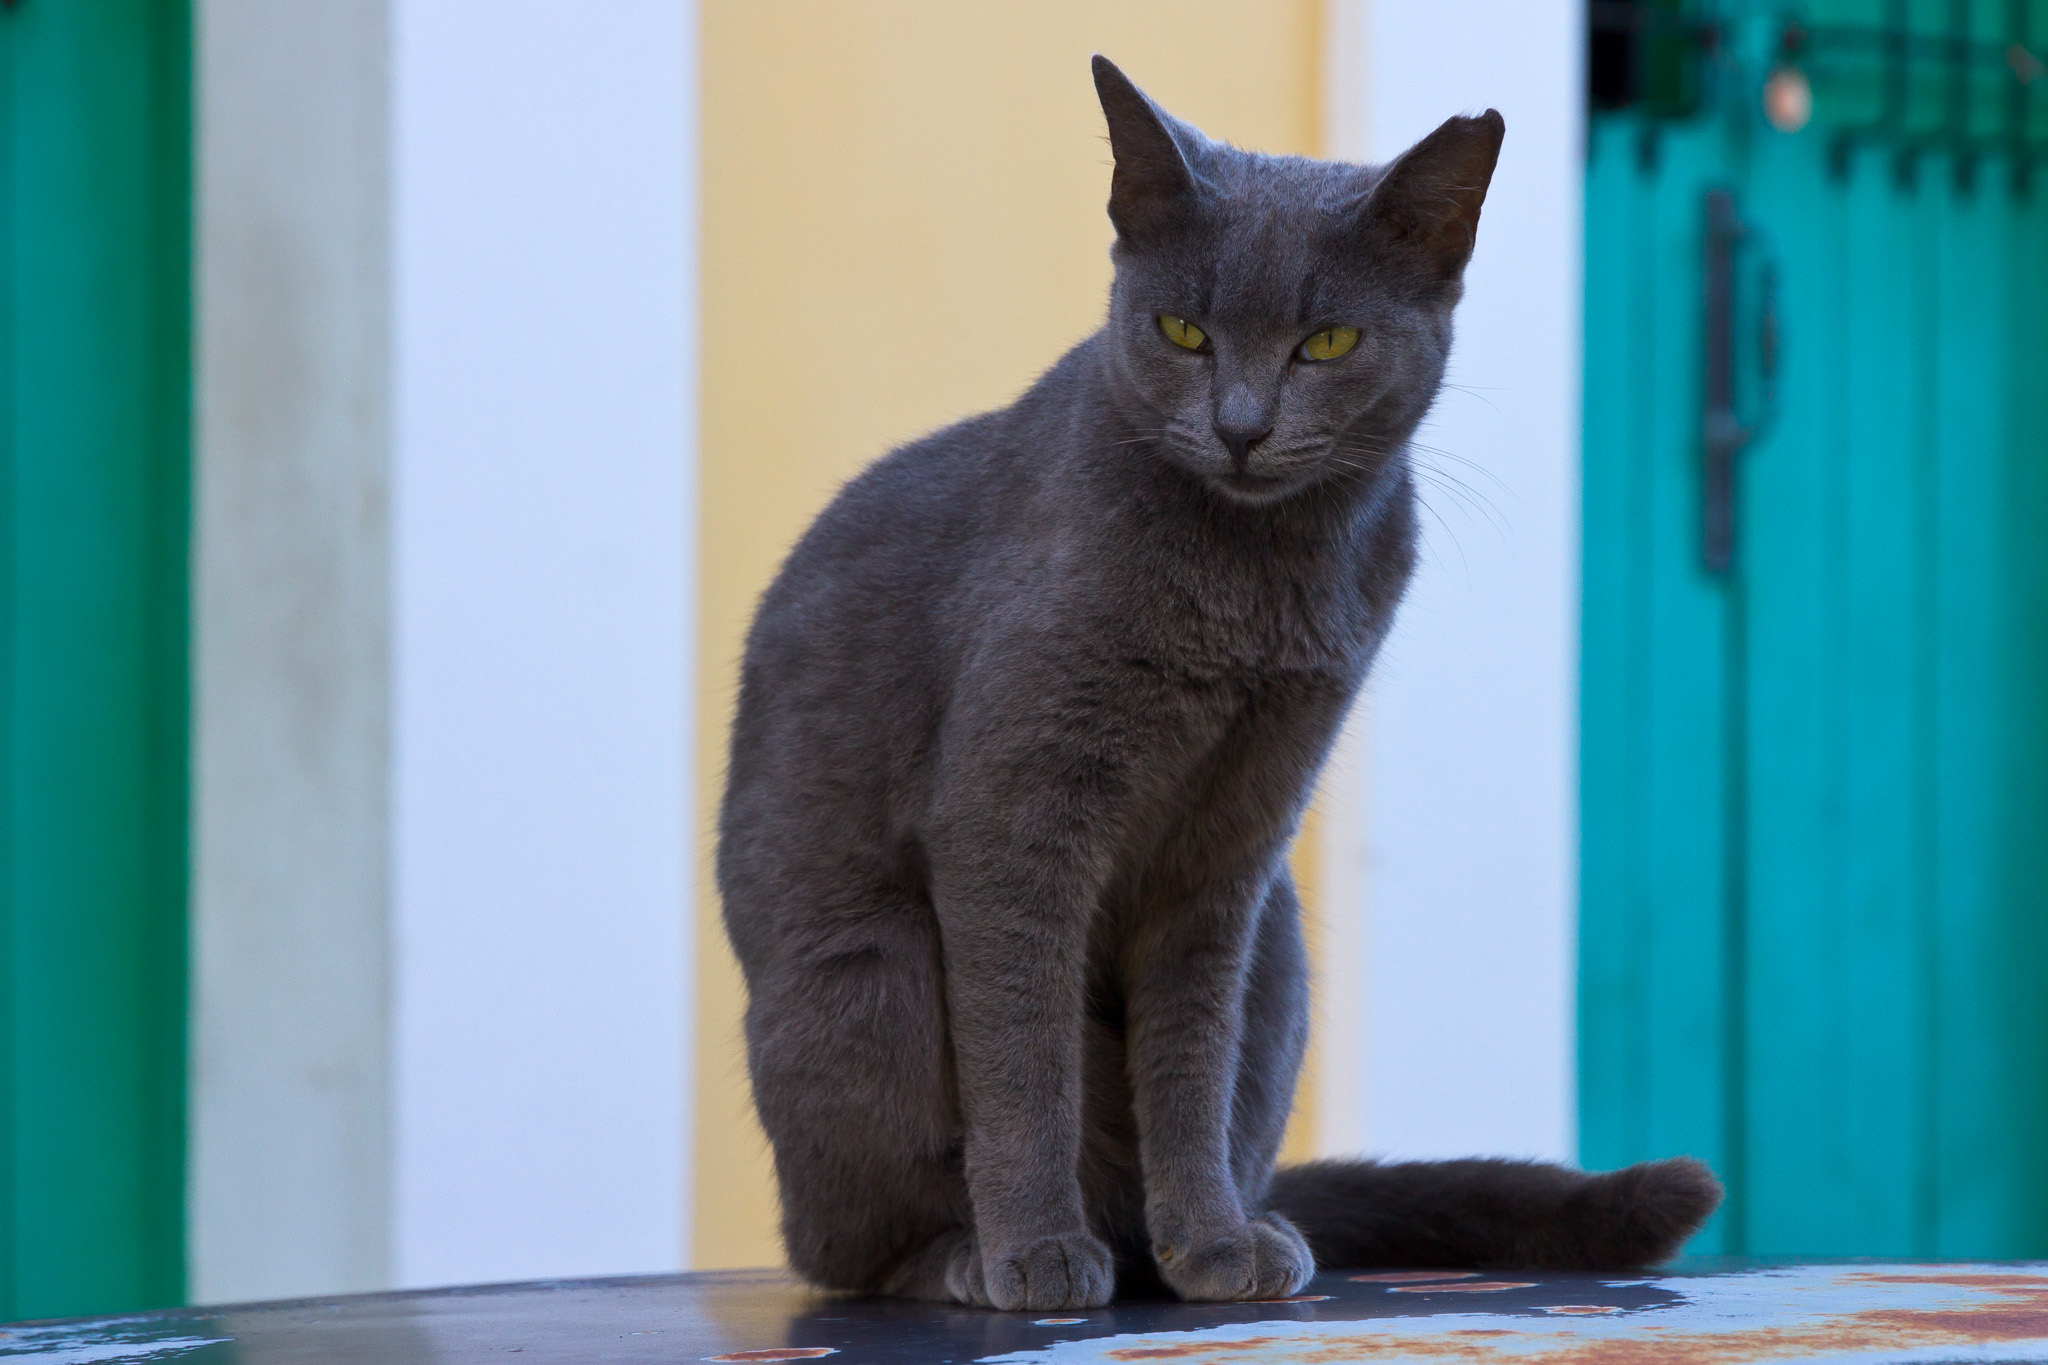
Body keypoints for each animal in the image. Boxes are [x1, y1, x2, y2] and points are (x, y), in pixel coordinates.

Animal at [720, 56, 1712, 1309]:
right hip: (869, 980)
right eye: (1181, 330)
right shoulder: (1011, 817)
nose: (1239, 427)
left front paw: (1208, 1243)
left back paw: (1234, 1229)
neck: (1248, 601)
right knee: (836, 1248)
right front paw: (1035, 1251)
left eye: (1327, 342)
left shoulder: (1235, 839)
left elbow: (1190, 1055)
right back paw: (969, 1256)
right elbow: (1021, 1055)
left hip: (1279, 954)